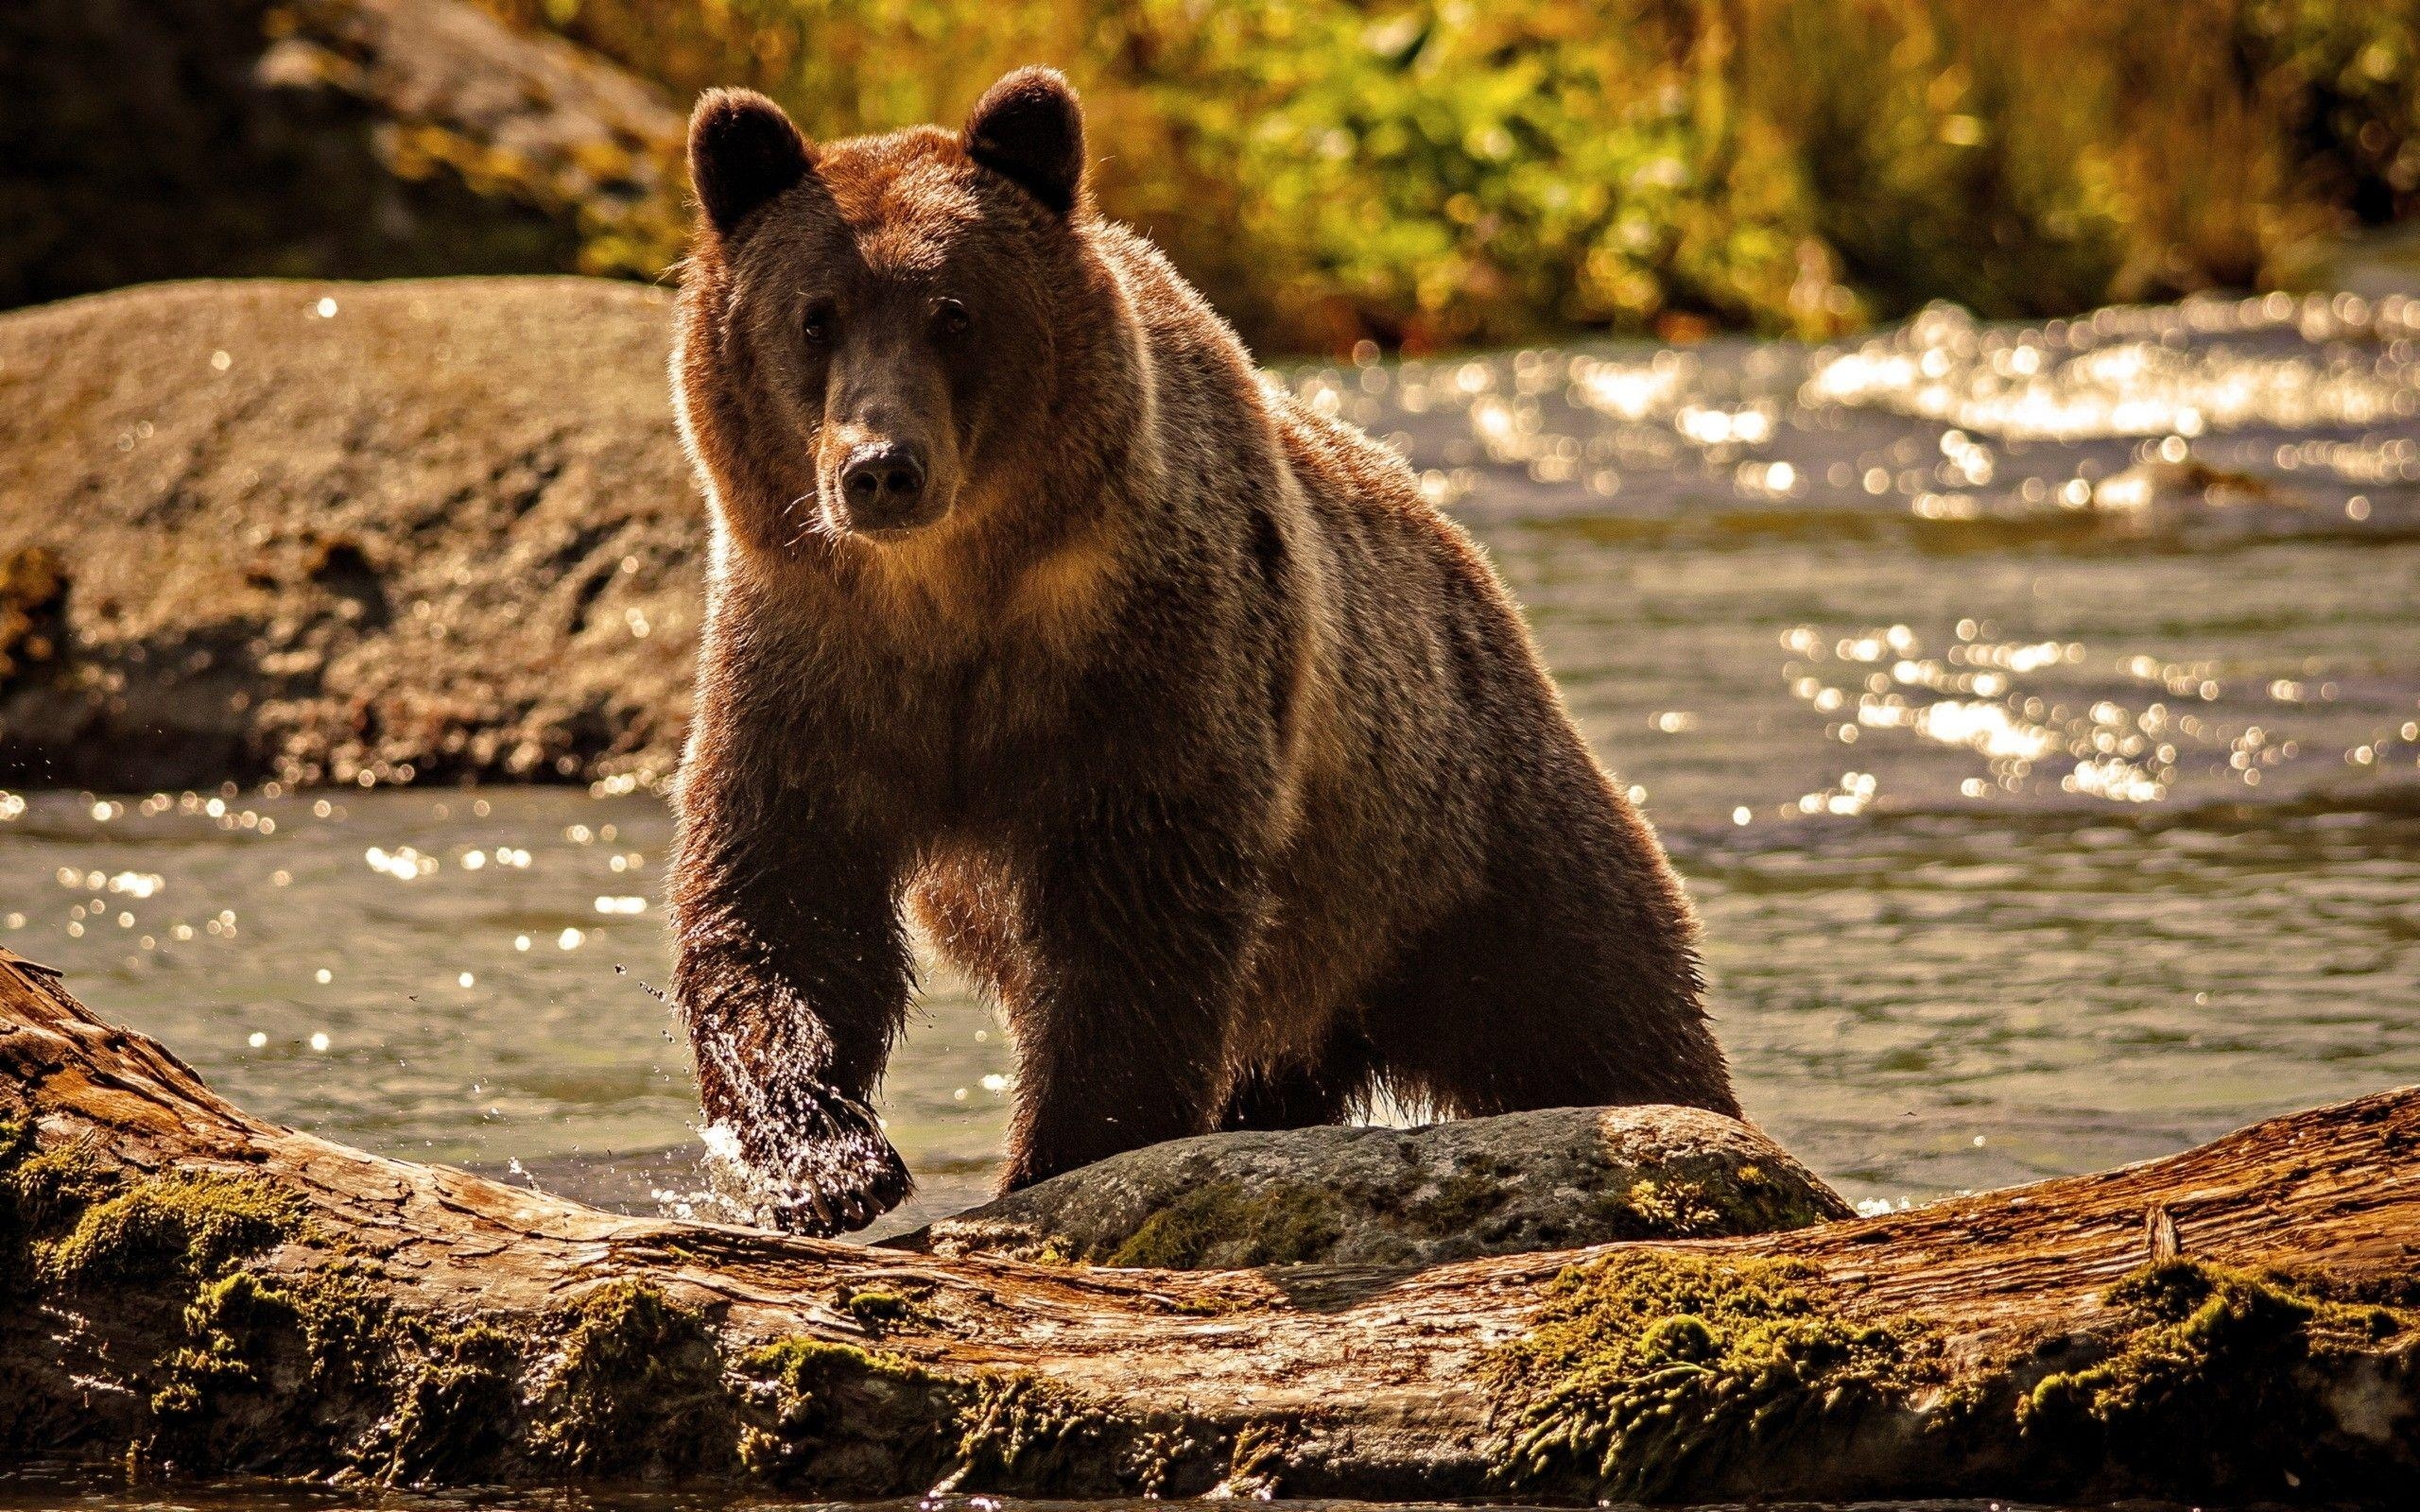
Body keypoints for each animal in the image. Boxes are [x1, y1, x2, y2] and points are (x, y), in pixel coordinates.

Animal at [667, 64, 1742, 1233]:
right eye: (813, 317)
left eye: (952, 311)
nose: (880, 468)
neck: (953, 595)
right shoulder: (811, 658)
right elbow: (783, 894)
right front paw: (820, 1161)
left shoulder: (1152, 657)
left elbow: (1136, 918)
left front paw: (1060, 1153)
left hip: (1460, 834)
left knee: (1595, 1004)